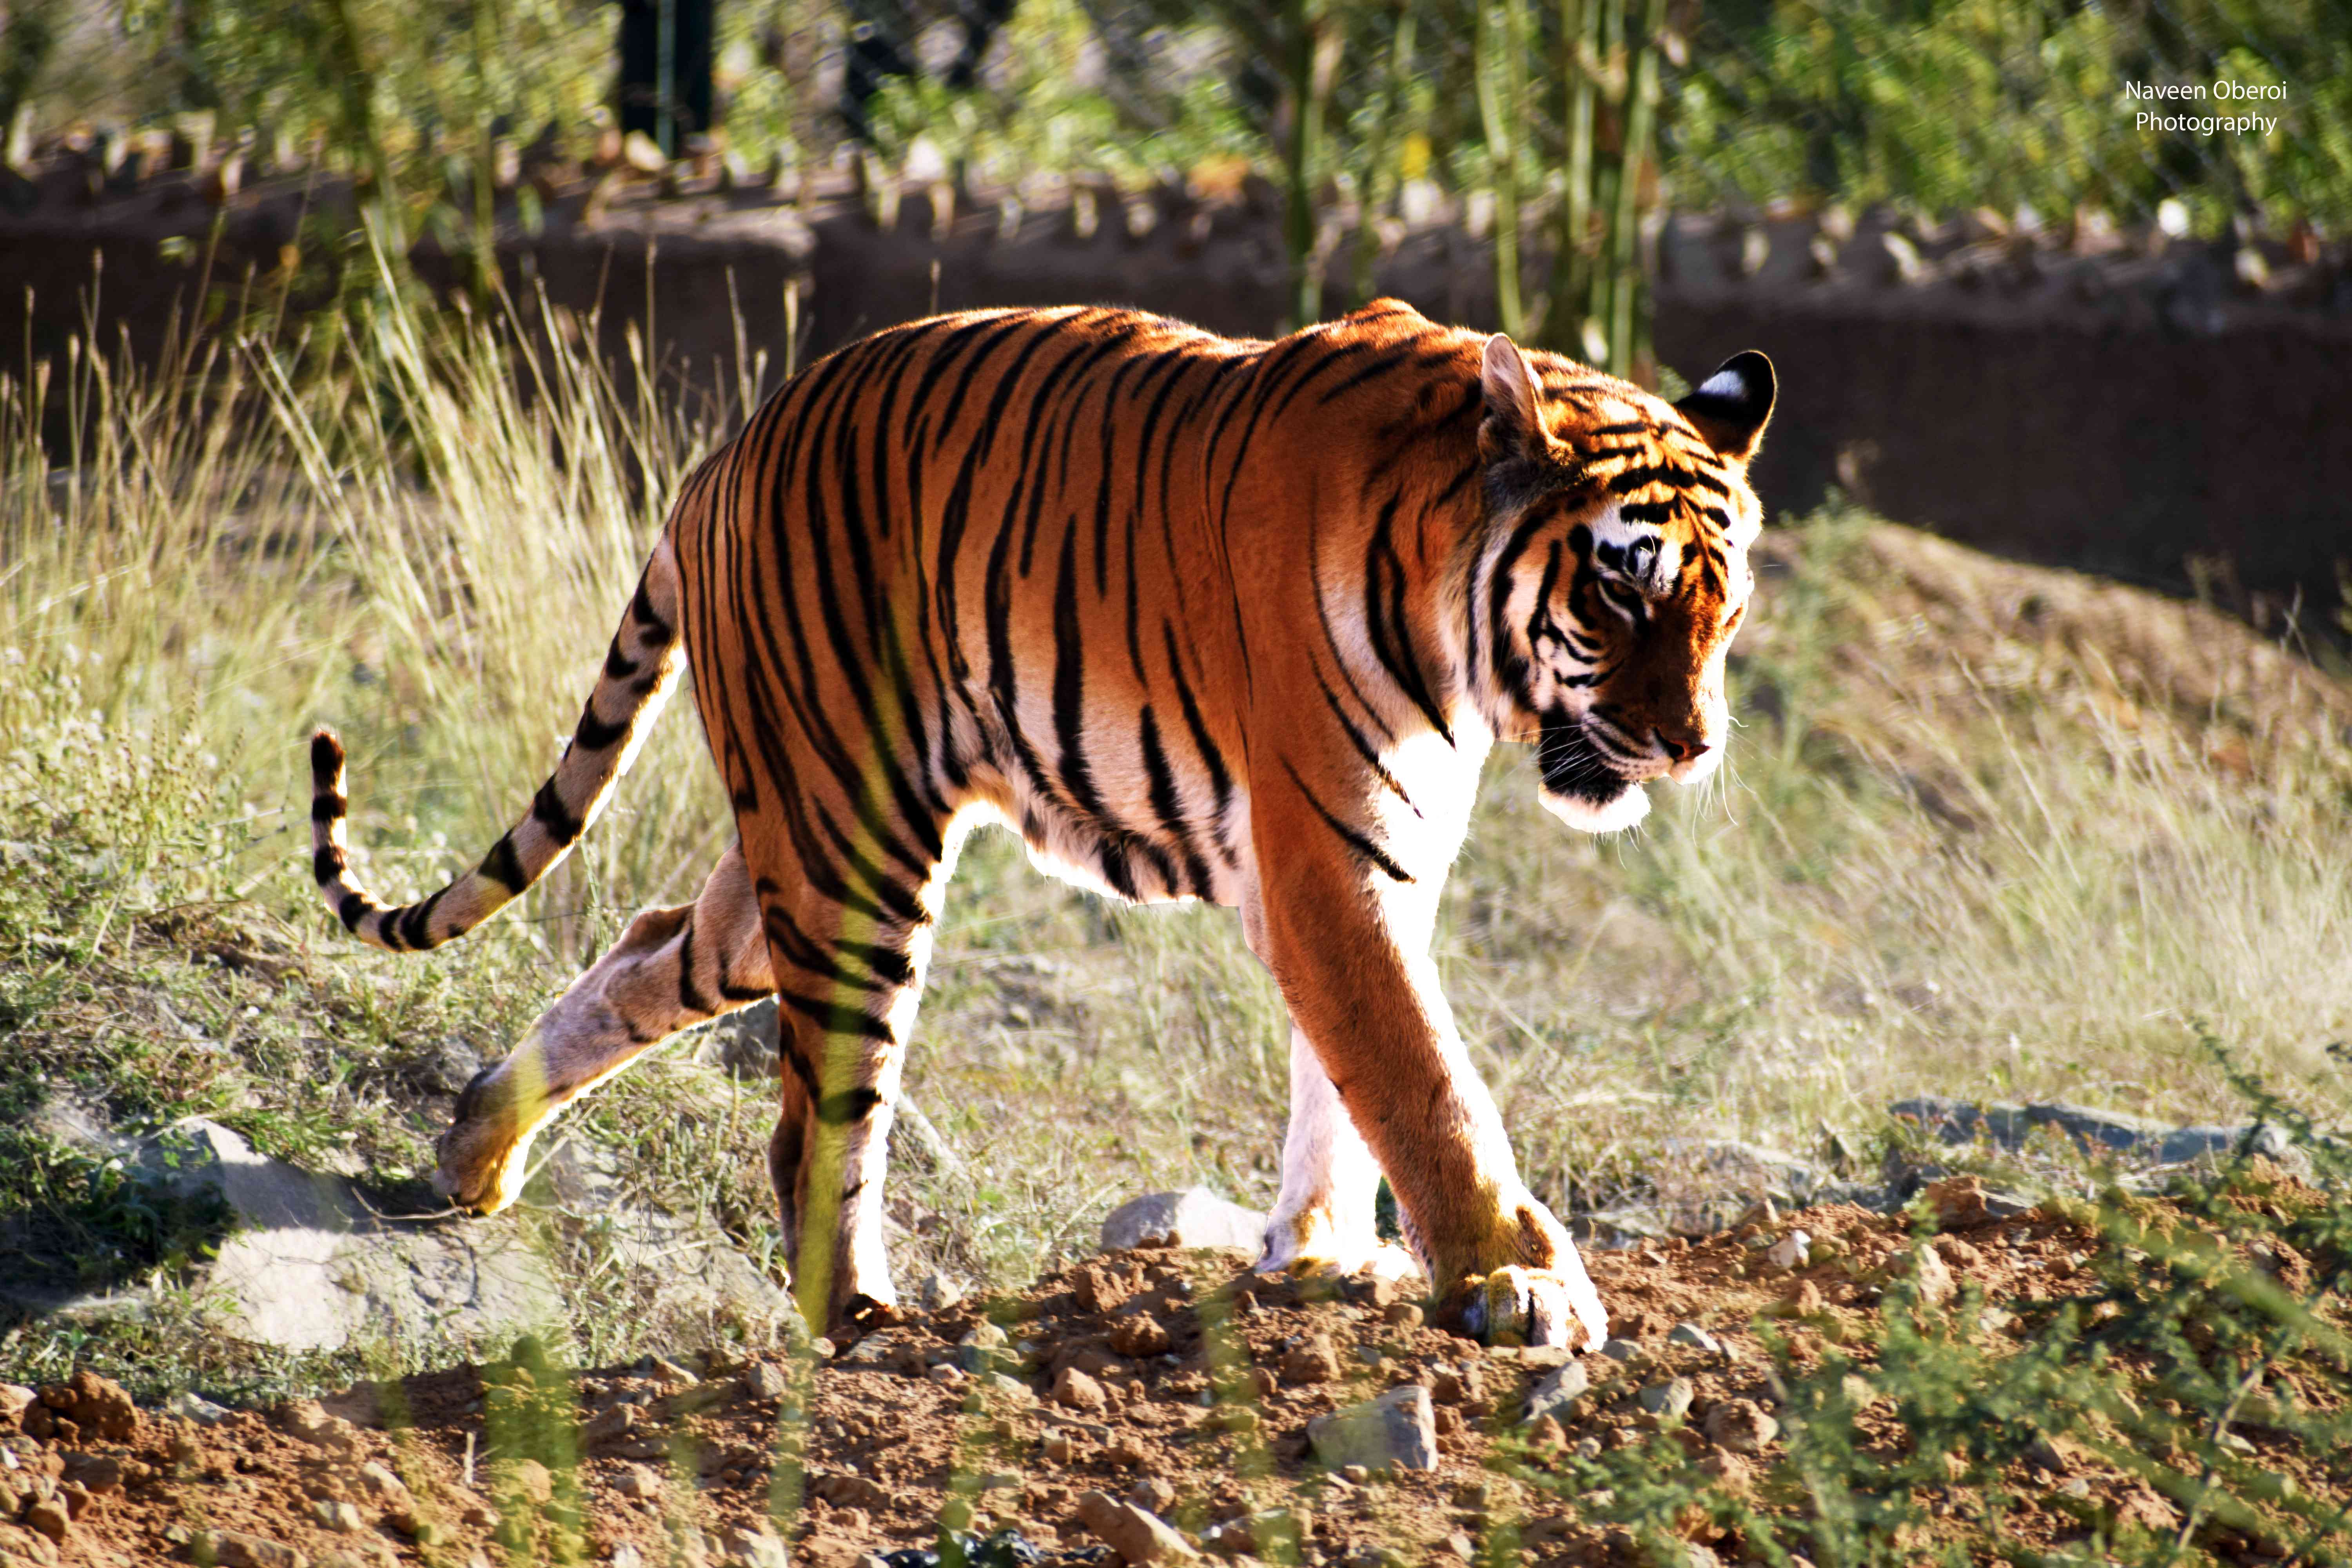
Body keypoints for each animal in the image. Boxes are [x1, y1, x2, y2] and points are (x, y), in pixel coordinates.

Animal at [307, 298, 1774, 1349]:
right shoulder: (1327, 860)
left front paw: (1320, 1255)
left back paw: (477, 1143)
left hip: (792, 844)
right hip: (855, 846)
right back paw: (866, 1321)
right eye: (1622, 593)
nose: (1697, 745)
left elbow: (1347, 1082)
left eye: (1726, 608)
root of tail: (728, 451)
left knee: (659, 938)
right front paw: (1518, 1285)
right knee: (819, 1116)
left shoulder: (1382, 862)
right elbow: (1425, 1081)